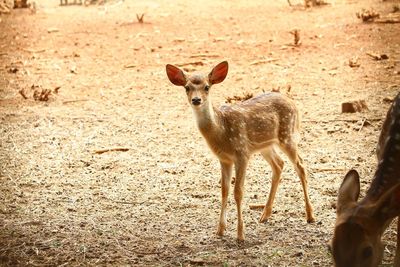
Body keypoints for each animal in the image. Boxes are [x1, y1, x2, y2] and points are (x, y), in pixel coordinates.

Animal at [166, 61, 316, 242]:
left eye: (207, 87)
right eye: (187, 87)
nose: (196, 99)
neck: (221, 130)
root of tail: (293, 103)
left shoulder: (241, 153)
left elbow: (238, 192)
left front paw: (240, 234)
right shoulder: (224, 158)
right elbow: (224, 191)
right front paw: (220, 230)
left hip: (287, 135)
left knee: (300, 166)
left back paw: (310, 216)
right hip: (265, 145)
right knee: (279, 164)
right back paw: (265, 215)